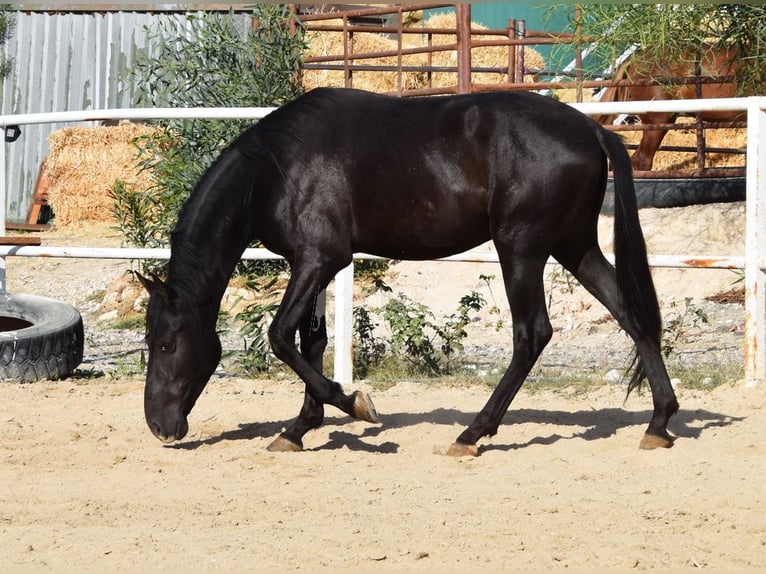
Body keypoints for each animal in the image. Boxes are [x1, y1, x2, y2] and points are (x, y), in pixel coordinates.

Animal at [136, 88, 680, 456]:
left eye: (165, 344)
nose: (159, 426)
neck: (276, 167)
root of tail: (593, 130)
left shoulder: (319, 259)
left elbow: (281, 336)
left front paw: (353, 402)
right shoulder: (310, 262)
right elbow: (310, 342)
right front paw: (299, 428)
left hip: (521, 249)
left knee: (532, 335)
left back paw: (473, 433)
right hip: (574, 247)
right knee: (632, 316)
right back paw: (659, 423)